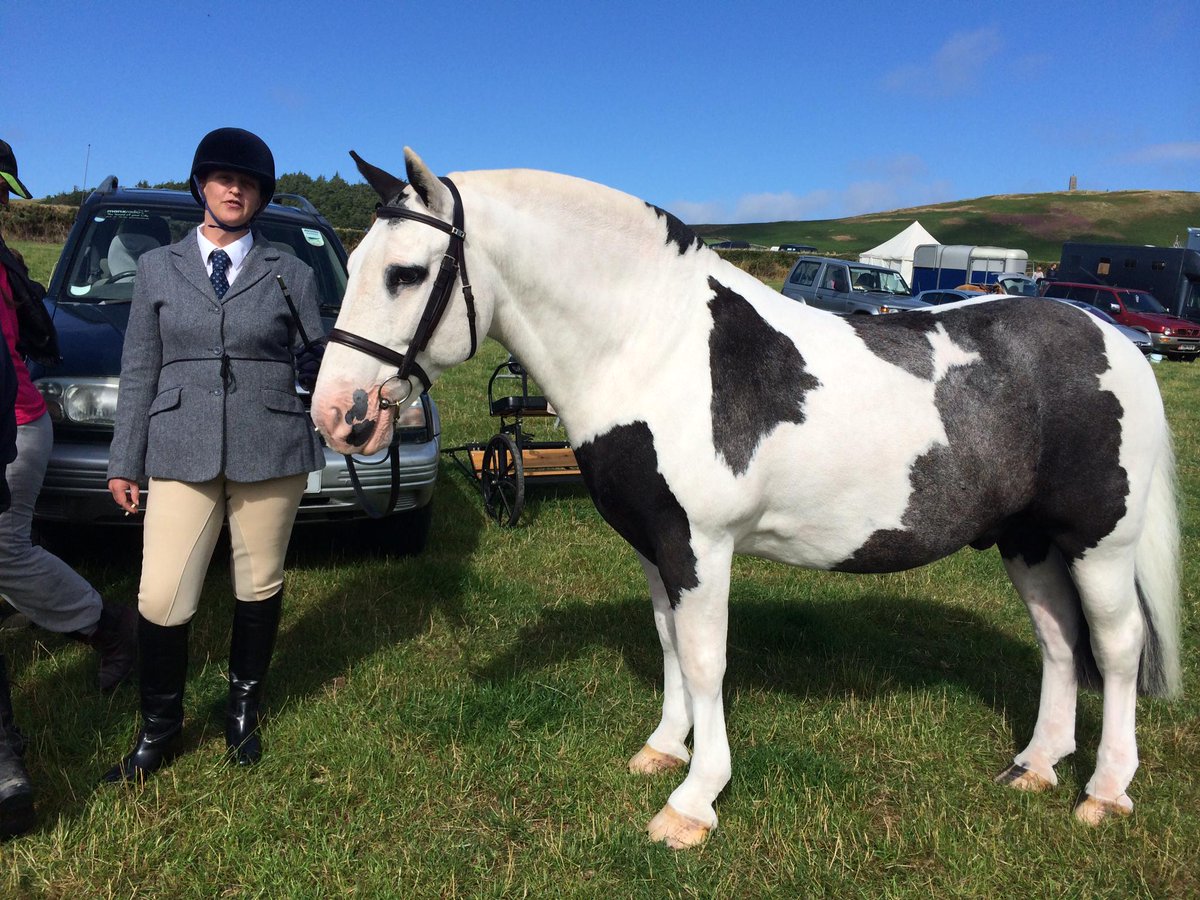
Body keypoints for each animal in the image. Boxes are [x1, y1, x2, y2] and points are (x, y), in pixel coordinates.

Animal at [311, 148, 1181, 849]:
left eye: (405, 273)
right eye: (357, 262)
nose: (337, 415)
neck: (655, 345)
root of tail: (1115, 341)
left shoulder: (702, 543)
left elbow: (705, 658)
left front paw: (694, 801)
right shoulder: (654, 543)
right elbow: (668, 642)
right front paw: (665, 747)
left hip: (1100, 544)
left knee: (1116, 647)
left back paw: (1105, 790)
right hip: (1028, 540)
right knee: (1059, 641)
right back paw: (1036, 765)